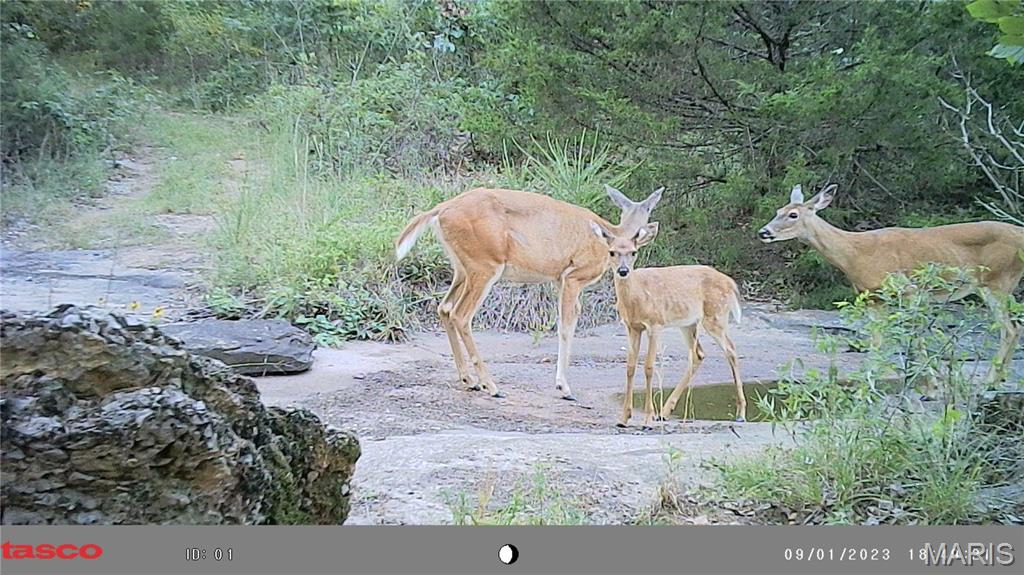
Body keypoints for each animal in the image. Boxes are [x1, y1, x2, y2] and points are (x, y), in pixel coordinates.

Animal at [394, 184, 664, 401]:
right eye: (617, 253)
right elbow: (566, 327)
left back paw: (469, 380)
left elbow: (567, 322)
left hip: (462, 268)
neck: (609, 236)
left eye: (633, 252)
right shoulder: (573, 275)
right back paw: (491, 386)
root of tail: (440, 209)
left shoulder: (559, 280)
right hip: (485, 264)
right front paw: (564, 387)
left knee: (445, 308)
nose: (624, 271)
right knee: (461, 315)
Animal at [589, 220, 748, 427]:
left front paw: (647, 418)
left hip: (715, 315)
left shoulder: (655, 323)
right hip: (688, 323)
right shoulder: (632, 327)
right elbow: (630, 367)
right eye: (612, 252)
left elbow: (649, 366)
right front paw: (623, 418)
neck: (636, 298)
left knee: (731, 350)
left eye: (634, 252)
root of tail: (731, 283)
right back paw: (664, 412)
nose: (623, 271)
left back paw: (741, 413)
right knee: (698, 354)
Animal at [758, 183, 1024, 387]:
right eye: (778, 210)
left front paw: (931, 387)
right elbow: (876, 343)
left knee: (1009, 329)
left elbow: (915, 338)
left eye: (793, 215)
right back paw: (999, 379)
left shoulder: (908, 290)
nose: (763, 232)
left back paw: (989, 381)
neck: (856, 254)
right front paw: (868, 382)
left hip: (997, 279)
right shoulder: (873, 298)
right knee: (1014, 327)